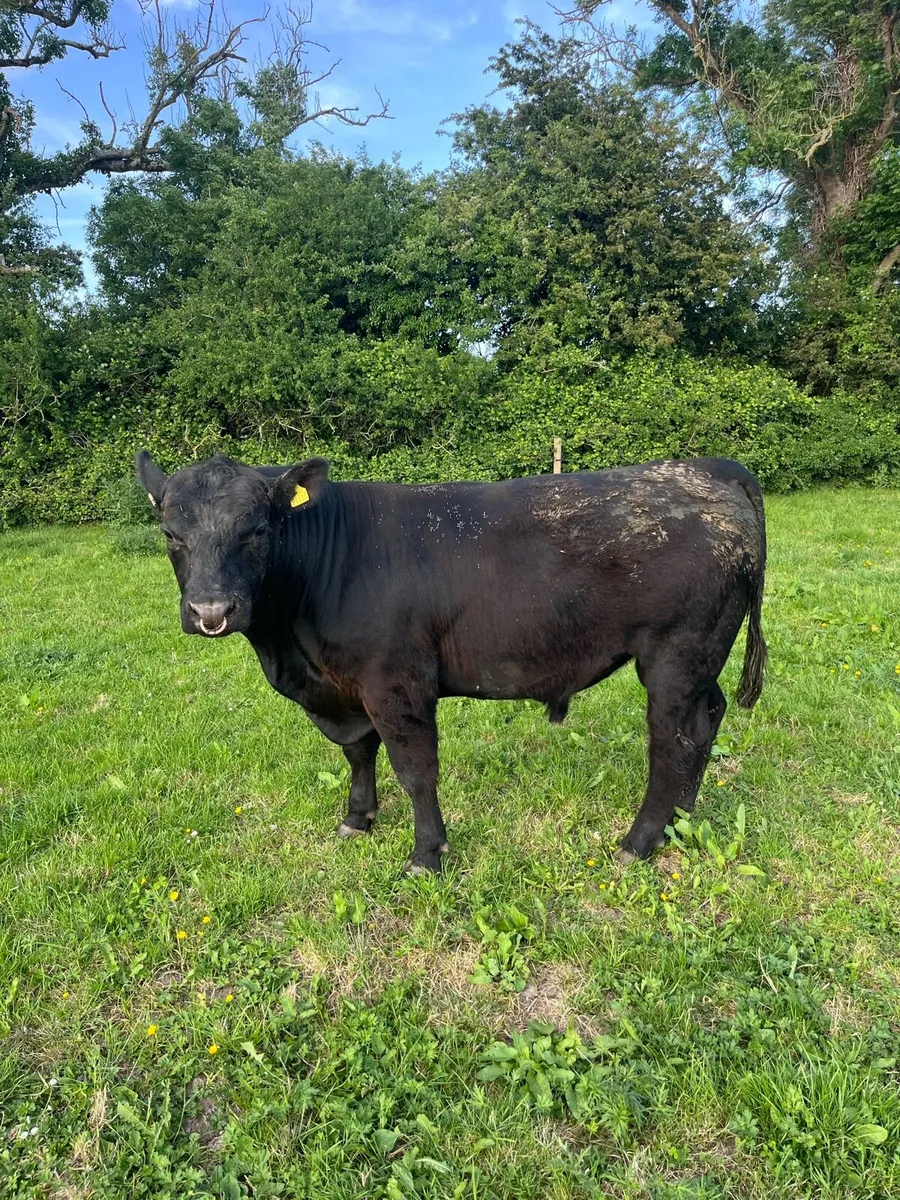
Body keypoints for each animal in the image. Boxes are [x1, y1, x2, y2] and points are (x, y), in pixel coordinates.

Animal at [136, 451, 766, 873]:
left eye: (258, 529)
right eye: (170, 533)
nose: (211, 611)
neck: (291, 648)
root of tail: (706, 467)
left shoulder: (395, 682)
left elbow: (416, 770)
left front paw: (426, 854)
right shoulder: (343, 689)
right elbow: (358, 753)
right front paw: (358, 819)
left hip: (675, 656)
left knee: (671, 742)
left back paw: (638, 841)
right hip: (702, 663)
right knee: (705, 722)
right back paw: (680, 821)